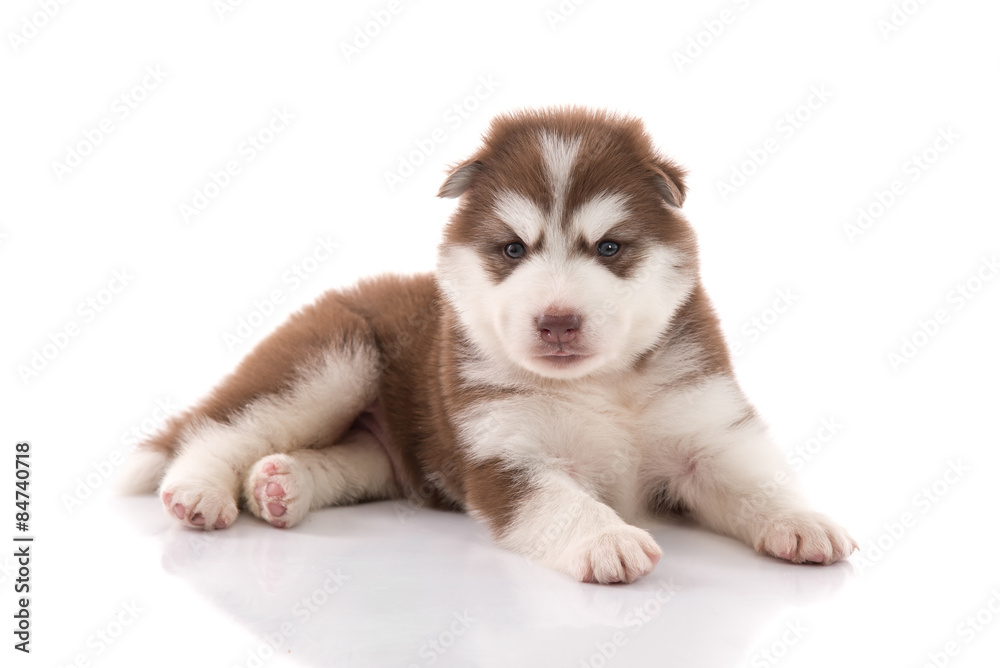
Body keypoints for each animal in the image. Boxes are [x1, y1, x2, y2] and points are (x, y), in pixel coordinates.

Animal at [125, 107, 856, 580]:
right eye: (512, 249)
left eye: (609, 248)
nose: (557, 321)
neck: (600, 383)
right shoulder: (506, 451)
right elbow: (557, 500)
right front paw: (607, 538)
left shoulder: (706, 428)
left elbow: (756, 481)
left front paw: (804, 521)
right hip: (333, 358)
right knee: (219, 428)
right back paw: (199, 492)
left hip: (393, 445)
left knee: (350, 457)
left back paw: (282, 485)